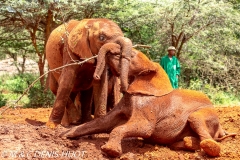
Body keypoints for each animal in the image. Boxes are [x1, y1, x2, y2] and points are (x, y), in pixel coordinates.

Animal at [61, 46, 235, 158]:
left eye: (131, 56)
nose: (96, 76)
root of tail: (221, 129)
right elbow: (104, 122)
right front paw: (64, 134)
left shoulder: (147, 106)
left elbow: (142, 128)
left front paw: (110, 151)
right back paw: (185, 142)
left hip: (207, 115)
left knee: (198, 122)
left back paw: (207, 147)